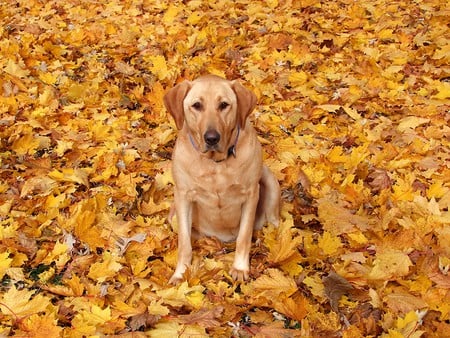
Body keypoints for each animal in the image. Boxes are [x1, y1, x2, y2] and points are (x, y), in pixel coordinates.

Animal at [163, 75, 280, 284]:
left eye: (224, 105)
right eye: (197, 105)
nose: (211, 138)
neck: (215, 164)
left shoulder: (251, 194)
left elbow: (244, 236)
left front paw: (240, 268)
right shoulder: (183, 196)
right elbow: (184, 243)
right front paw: (180, 274)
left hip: (269, 181)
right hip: (173, 215)